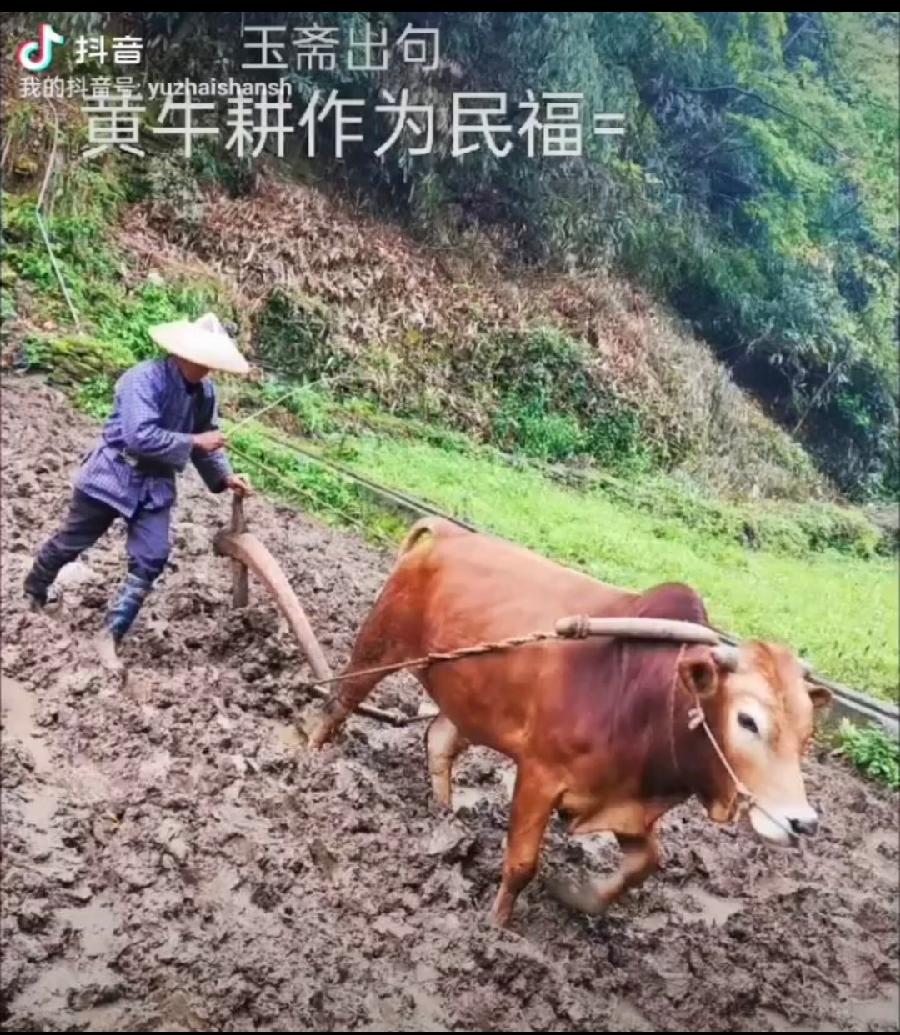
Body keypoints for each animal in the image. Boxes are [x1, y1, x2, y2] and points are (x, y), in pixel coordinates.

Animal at [310, 517, 831, 927]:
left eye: (808, 734)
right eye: (748, 721)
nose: (802, 822)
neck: (639, 693)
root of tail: (444, 532)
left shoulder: (625, 804)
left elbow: (647, 863)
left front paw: (577, 896)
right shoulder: (539, 777)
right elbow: (522, 864)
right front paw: (496, 927)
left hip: (467, 701)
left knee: (438, 739)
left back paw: (443, 816)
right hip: (379, 646)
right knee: (337, 705)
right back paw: (309, 761)